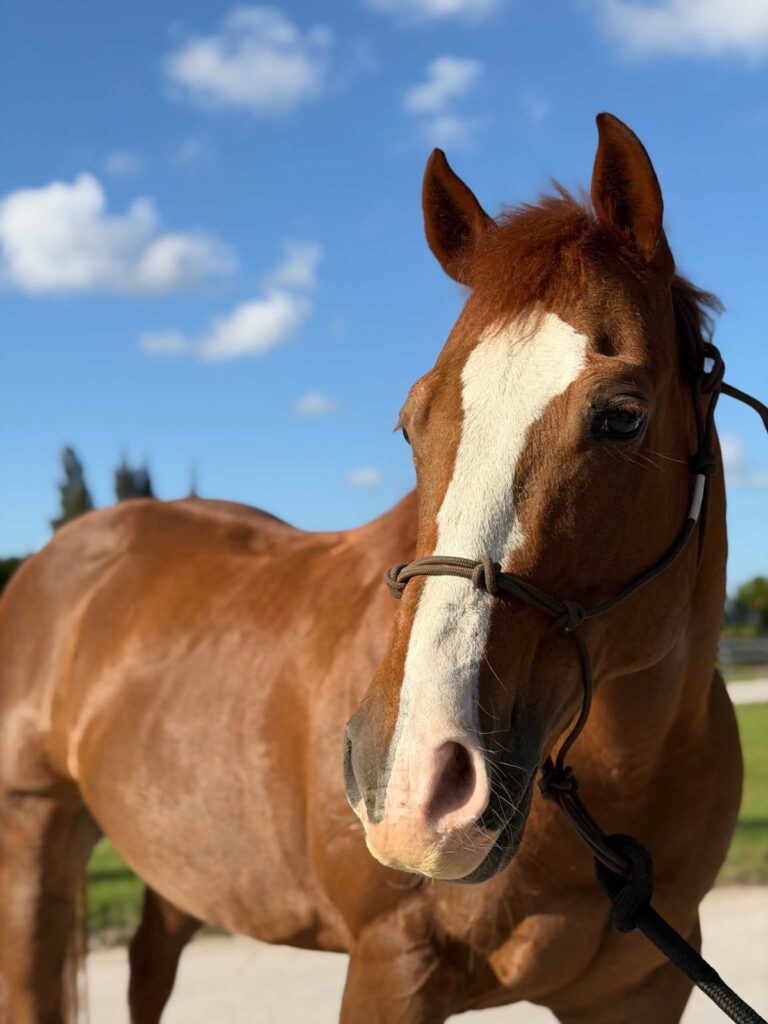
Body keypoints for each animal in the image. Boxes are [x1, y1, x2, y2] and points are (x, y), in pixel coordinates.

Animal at [0, 113, 742, 1024]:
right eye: (411, 420)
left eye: (623, 415)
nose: (415, 779)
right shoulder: (392, 966)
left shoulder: (644, 986)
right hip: (33, 843)